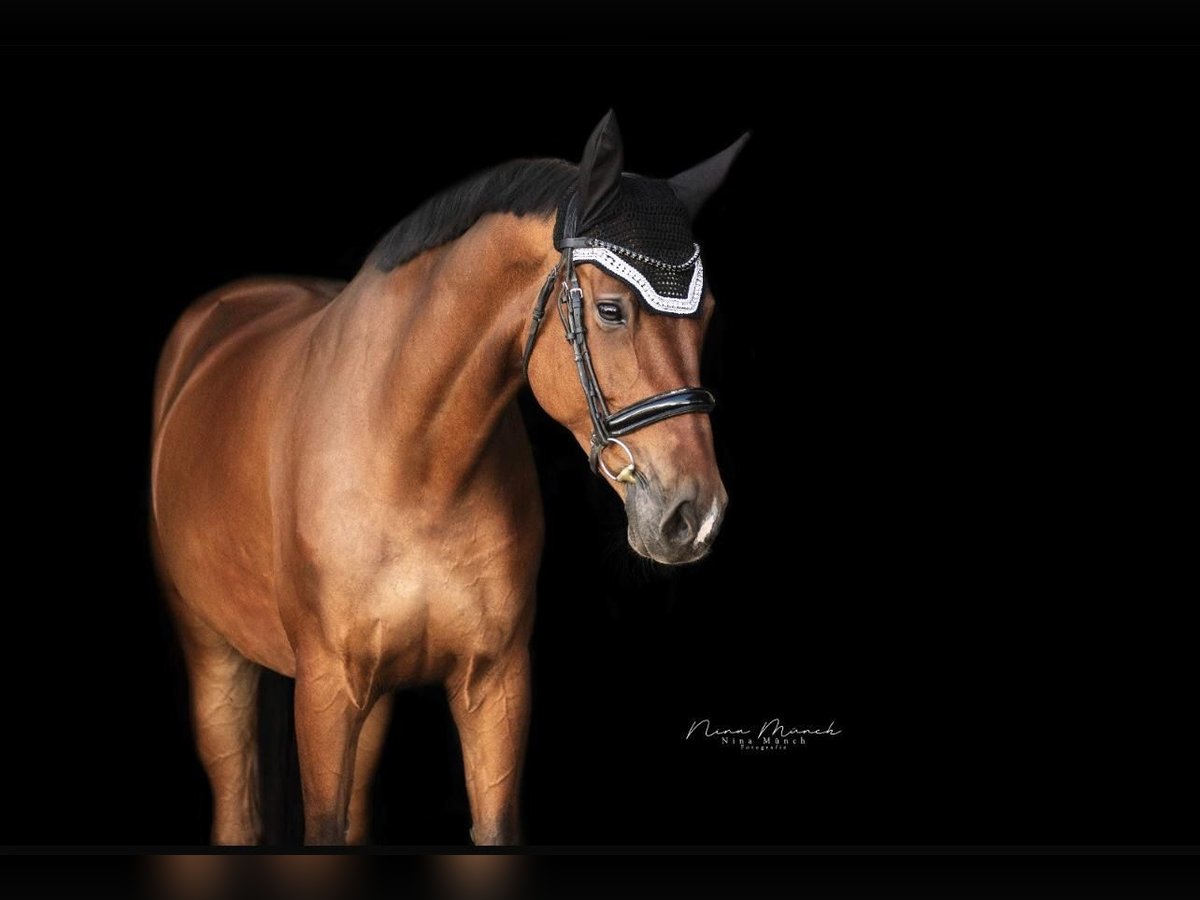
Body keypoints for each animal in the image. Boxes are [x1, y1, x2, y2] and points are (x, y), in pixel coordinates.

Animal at [150, 111, 747, 845]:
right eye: (611, 310)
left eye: (708, 313)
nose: (696, 513)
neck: (417, 469)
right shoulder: (325, 691)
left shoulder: (495, 686)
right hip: (214, 655)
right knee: (236, 804)